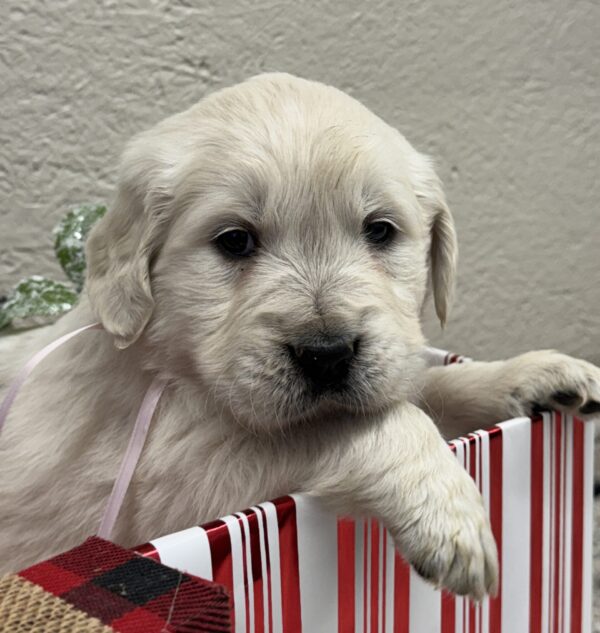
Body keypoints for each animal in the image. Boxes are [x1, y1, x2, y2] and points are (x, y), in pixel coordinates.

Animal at [0, 75, 596, 596]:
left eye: (380, 231)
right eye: (234, 240)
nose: (327, 355)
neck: (168, 364)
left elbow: (429, 386)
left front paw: (536, 372)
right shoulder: (173, 485)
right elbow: (353, 424)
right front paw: (449, 513)